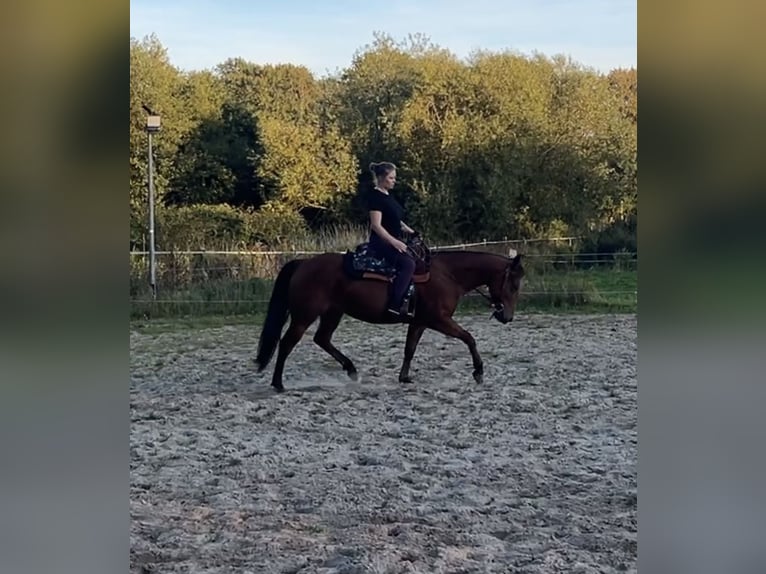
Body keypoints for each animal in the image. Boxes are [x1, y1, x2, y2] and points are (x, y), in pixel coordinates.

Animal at [254, 242, 525, 392]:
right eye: (513, 285)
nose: (507, 317)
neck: (447, 274)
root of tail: (303, 263)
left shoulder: (419, 322)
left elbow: (409, 349)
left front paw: (404, 377)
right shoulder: (439, 320)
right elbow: (469, 338)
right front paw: (478, 372)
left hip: (333, 312)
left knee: (322, 339)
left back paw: (351, 370)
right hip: (304, 316)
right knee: (287, 343)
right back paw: (278, 383)